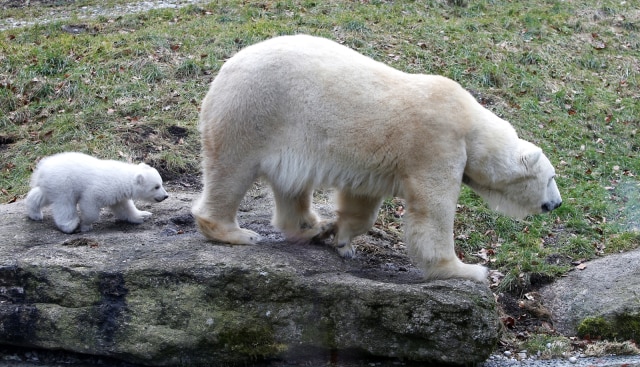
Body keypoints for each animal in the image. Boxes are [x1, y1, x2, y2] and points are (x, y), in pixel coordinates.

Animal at [192, 35, 564, 282]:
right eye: (551, 178)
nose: (557, 203)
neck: (471, 125)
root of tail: (225, 67)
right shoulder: (436, 143)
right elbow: (434, 211)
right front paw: (468, 270)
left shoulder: (374, 162)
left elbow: (362, 202)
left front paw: (342, 239)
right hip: (255, 112)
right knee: (231, 171)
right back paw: (236, 233)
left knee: (291, 185)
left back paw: (312, 228)